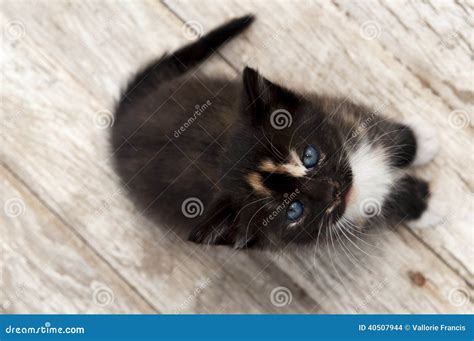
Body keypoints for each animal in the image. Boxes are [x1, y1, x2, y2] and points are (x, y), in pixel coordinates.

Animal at [112, 15, 440, 250]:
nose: (334, 191)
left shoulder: (337, 108)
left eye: (310, 155)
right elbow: (381, 206)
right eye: (293, 211)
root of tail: (121, 123)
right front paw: (426, 206)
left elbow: (386, 131)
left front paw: (419, 142)